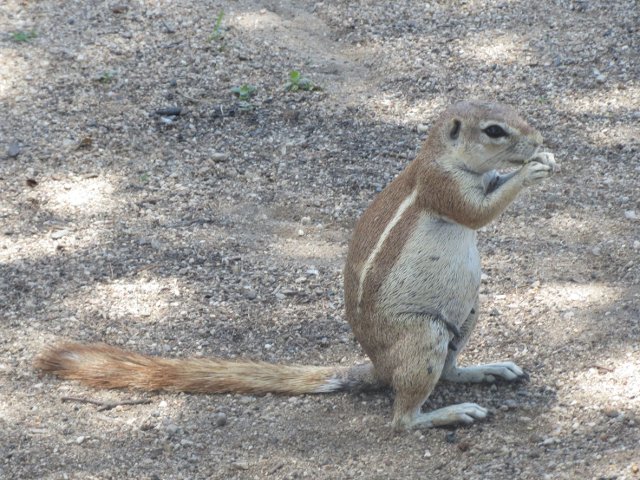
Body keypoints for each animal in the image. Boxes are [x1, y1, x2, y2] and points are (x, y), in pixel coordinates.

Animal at [35, 100, 556, 432]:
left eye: (515, 114)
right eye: (494, 130)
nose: (539, 138)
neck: (441, 156)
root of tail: (377, 368)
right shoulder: (441, 186)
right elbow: (478, 213)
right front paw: (531, 170)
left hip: (465, 317)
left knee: (448, 371)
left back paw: (487, 370)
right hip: (421, 334)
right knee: (403, 419)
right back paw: (448, 414)